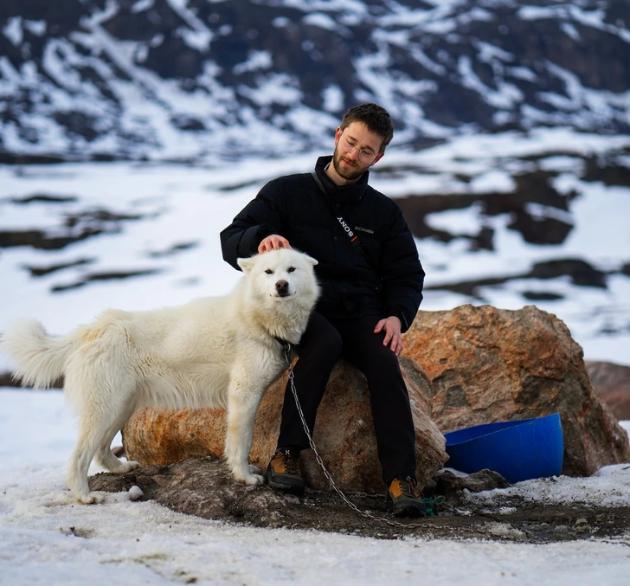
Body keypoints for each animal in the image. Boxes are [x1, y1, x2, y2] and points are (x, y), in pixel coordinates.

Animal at [1, 248, 320, 502]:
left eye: (292, 269)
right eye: (268, 272)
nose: (281, 285)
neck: (256, 318)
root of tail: (93, 329)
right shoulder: (244, 394)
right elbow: (241, 441)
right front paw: (245, 477)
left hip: (121, 407)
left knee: (102, 450)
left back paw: (121, 469)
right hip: (105, 409)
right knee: (79, 457)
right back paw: (84, 496)